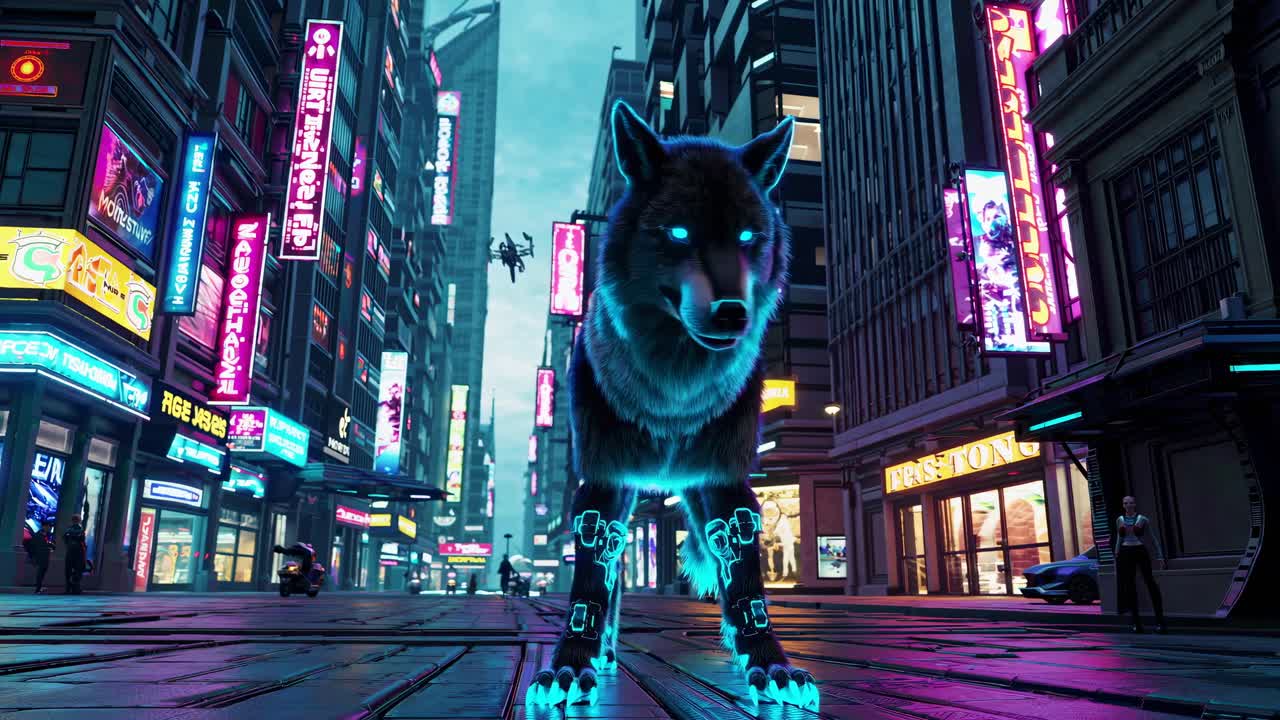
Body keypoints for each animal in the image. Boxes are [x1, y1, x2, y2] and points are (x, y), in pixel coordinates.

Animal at [526, 101, 818, 710]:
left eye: (748, 236)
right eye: (680, 233)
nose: (732, 313)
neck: (673, 394)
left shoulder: (724, 480)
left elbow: (745, 577)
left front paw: (769, 663)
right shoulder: (606, 480)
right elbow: (591, 584)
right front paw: (571, 662)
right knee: (610, 573)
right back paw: (603, 651)